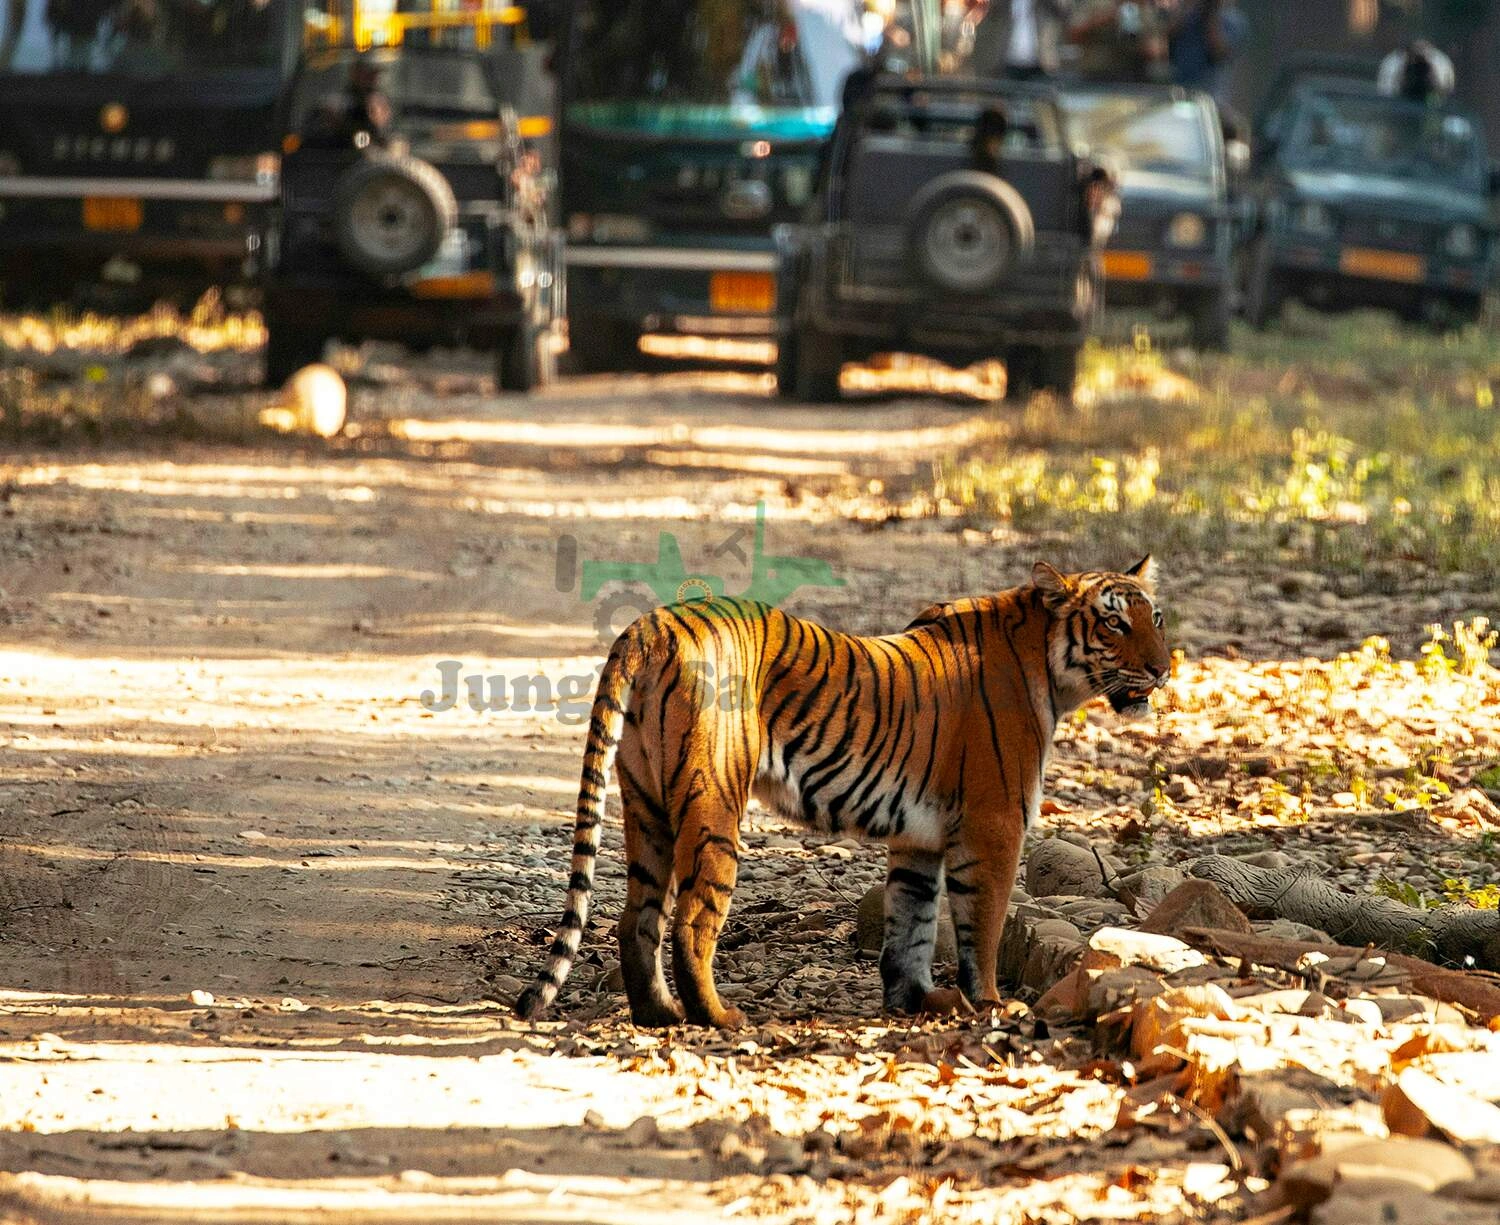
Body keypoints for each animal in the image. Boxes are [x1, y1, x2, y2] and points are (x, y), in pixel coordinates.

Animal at [519, 557, 1170, 1025]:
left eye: (1155, 618)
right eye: (1114, 622)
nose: (1164, 669)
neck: (1047, 667)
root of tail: (651, 624)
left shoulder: (919, 838)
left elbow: (912, 922)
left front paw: (917, 1002)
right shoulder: (995, 825)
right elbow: (981, 926)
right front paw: (989, 1003)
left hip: (646, 804)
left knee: (638, 920)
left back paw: (659, 1015)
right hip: (713, 806)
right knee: (692, 922)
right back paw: (719, 1018)